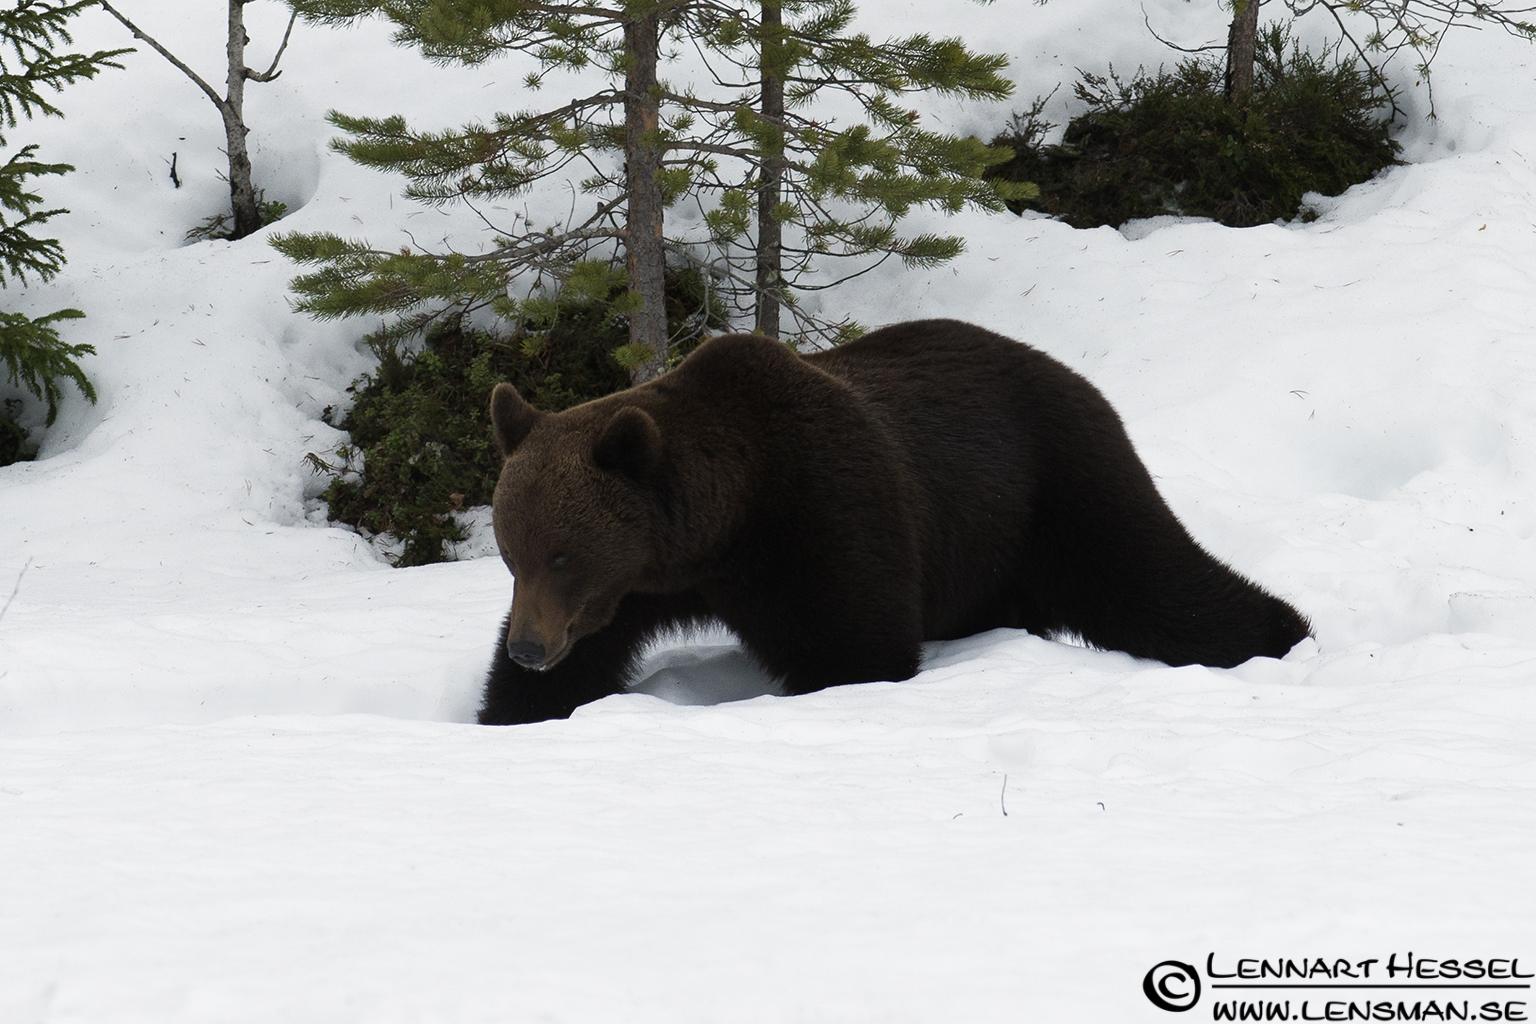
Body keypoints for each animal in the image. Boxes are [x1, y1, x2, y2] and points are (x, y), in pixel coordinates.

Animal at [478, 318, 1311, 725]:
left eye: (561, 555)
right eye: (512, 555)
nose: (528, 648)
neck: (722, 526)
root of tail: (1074, 374)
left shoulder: (821, 512)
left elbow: (854, 645)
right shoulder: (632, 589)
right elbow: (587, 658)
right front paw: (516, 709)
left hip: (1057, 482)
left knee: (1147, 573)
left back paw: (1284, 632)